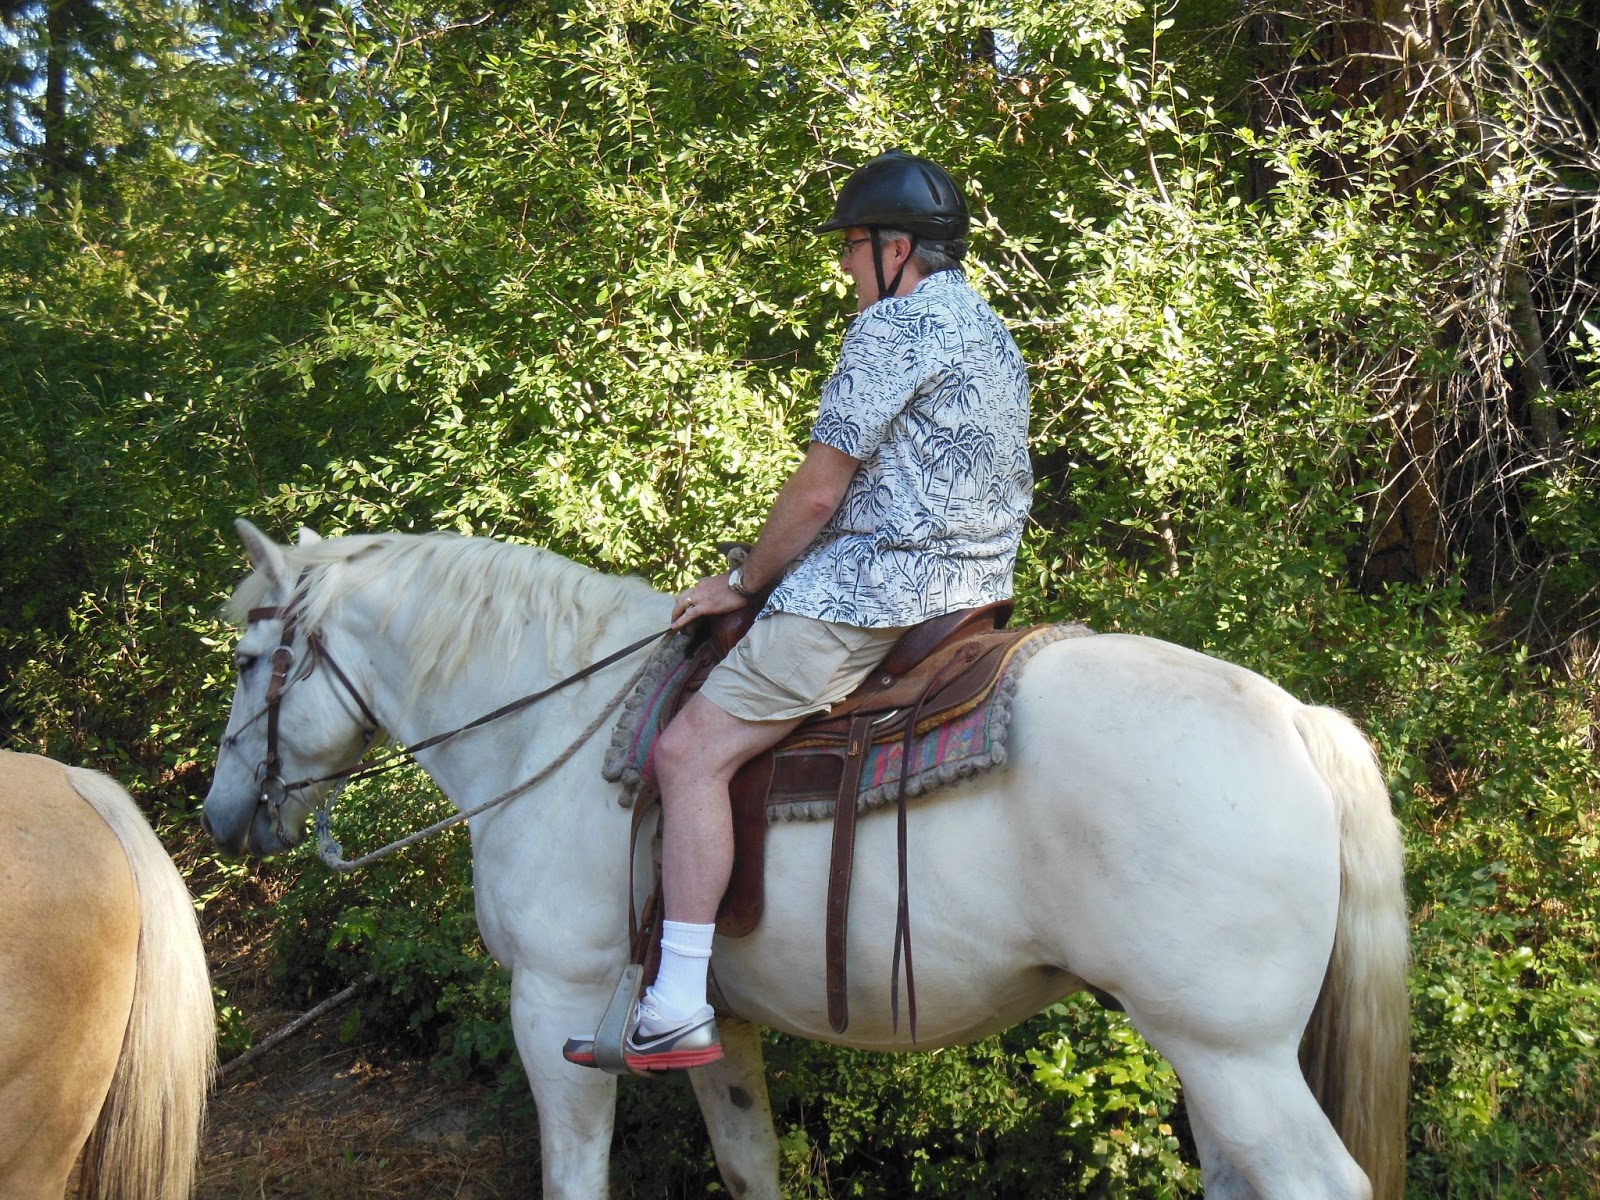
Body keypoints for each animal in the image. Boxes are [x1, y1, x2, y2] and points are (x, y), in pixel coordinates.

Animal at [202, 519, 1410, 1200]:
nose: (218, 816)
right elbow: (750, 1165)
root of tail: (1292, 717)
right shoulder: (711, 1027)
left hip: (1232, 1053)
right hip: (1212, 1057)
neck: (556, 723)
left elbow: (574, 1177)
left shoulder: (554, 1006)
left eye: (252, 659)